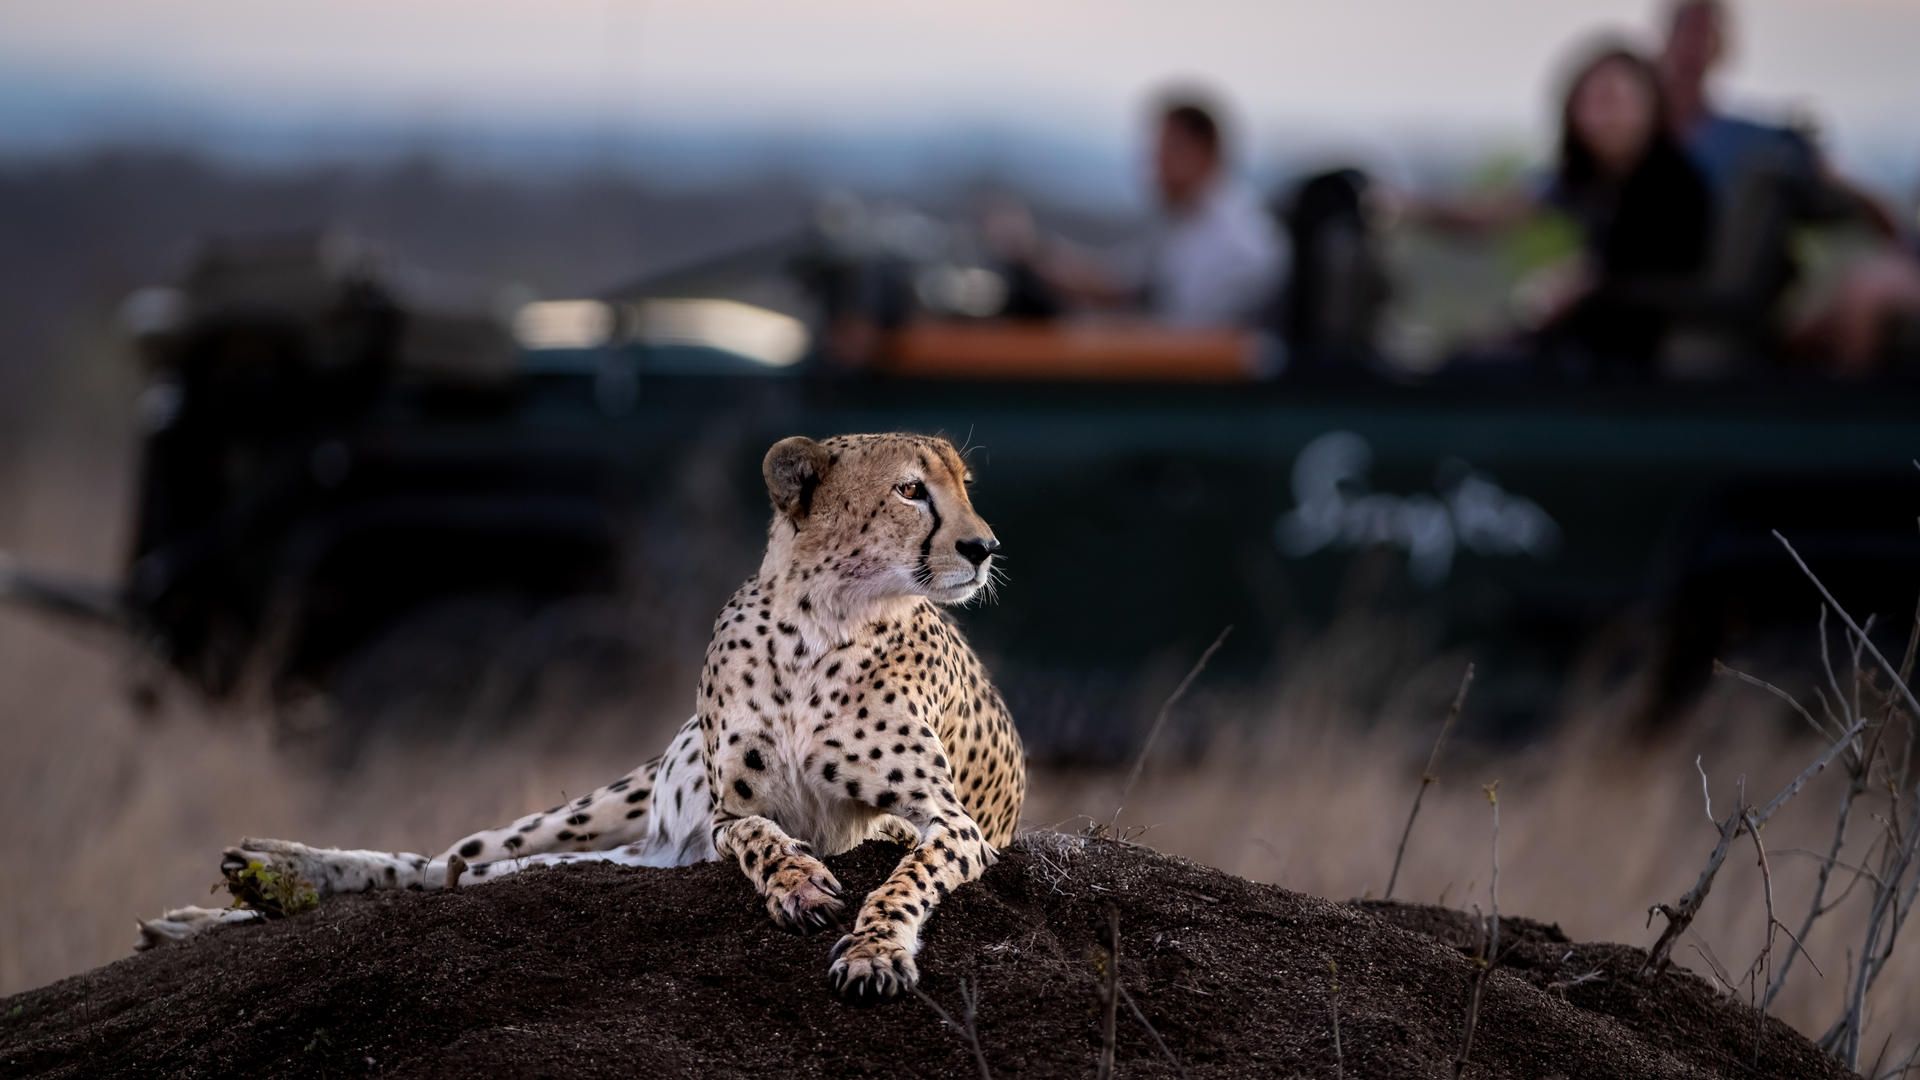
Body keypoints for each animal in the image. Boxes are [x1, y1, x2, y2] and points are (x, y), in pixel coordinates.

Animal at [137, 432, 1025, 1003]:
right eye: (911, 490)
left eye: (966, 487)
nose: (984, 547)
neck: (821, 620)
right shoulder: (729, 810)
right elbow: (759, 836)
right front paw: (799, 882)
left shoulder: (943, 821)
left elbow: (902, 878)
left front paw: (875, 953)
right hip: (612, 811)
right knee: (447, 864)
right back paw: (261, 882)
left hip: (640, 853)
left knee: (473, 875)